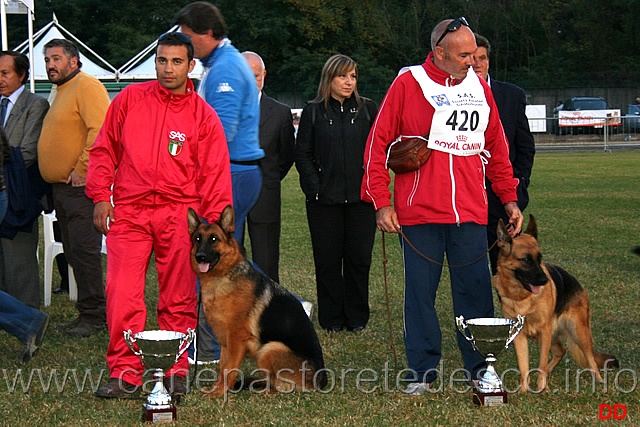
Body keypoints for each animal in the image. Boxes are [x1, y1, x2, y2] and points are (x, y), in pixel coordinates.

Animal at [185, 207, 324, 398]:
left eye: (214, 239)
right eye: (197, 239)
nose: (200, 257)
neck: (224, 276)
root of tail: (320, 381)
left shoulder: (236, 338)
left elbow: (229, 369)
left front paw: (220, 393)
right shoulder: (225, 341)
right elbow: (222, 368)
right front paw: (217, 388)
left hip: (269, 348)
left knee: (278, 386)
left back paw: (263, 391)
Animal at [492, 216, 616, 392]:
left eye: (539, 259)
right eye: (526, 260)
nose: (545, 280)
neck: (522, 296)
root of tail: (579, 285)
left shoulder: (544, 331)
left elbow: (542, 361)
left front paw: (542, 389)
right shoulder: (519, 335)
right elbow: (524, 366)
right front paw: (524, 391)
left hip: (578, 332)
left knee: (590, 356)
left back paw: (598, 379)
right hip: (550, 336)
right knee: (560, 351)